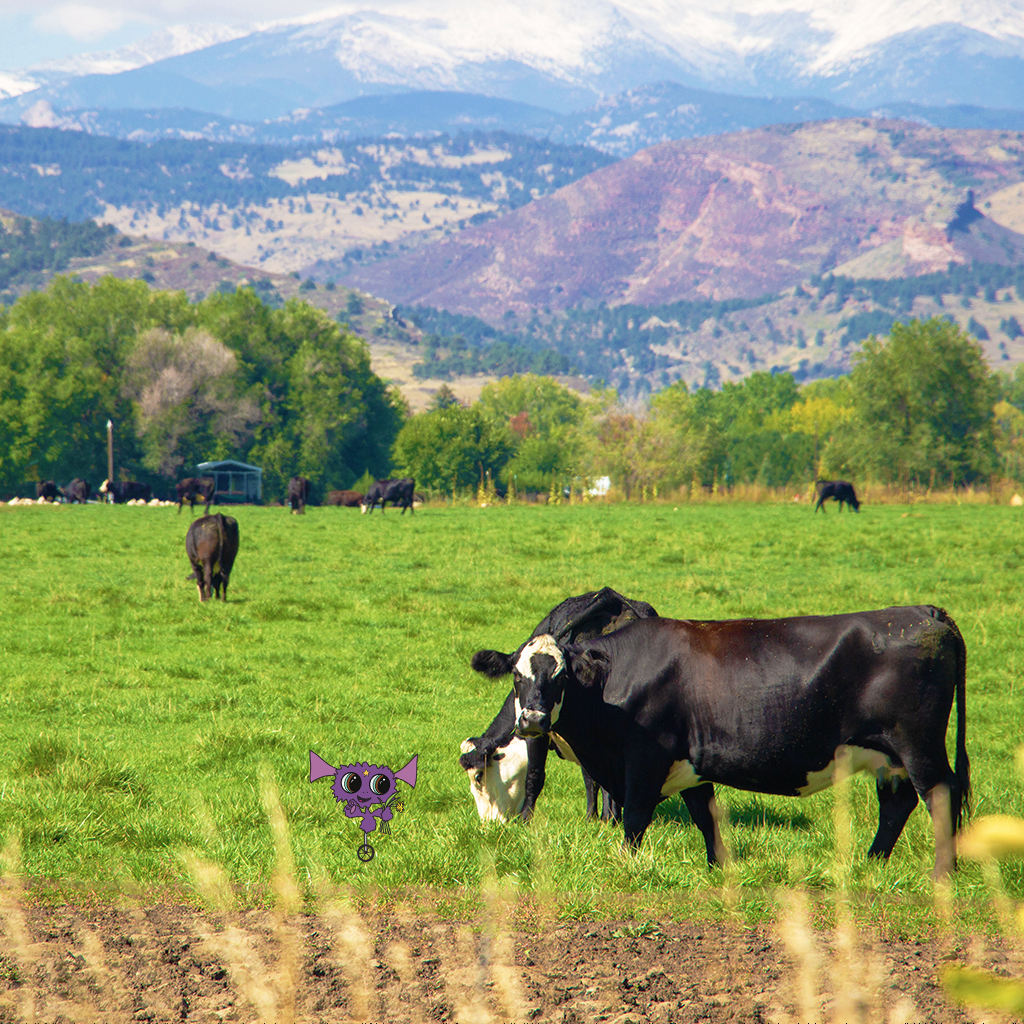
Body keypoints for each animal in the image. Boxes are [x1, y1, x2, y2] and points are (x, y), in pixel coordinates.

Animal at [461, 588, 659, 824]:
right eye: (517, 674)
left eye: (478, 777)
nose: (488, 822)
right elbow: (590, 776)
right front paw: (593, 818)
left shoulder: (537, 731)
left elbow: (535, 775)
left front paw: (525, 822)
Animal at [471, 606, 969, 878]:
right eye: (517, 676)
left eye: (560, 678)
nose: (533, 719)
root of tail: (924, 612)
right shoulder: (690, 765)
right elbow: (706, 817)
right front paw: (720, 869)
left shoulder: (645, 760)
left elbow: (634, 819)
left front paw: (626, 866)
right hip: (890, 756)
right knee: (897, 803)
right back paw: (870, 863)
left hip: (918, 746)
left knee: (939, 794)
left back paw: (941, 873)